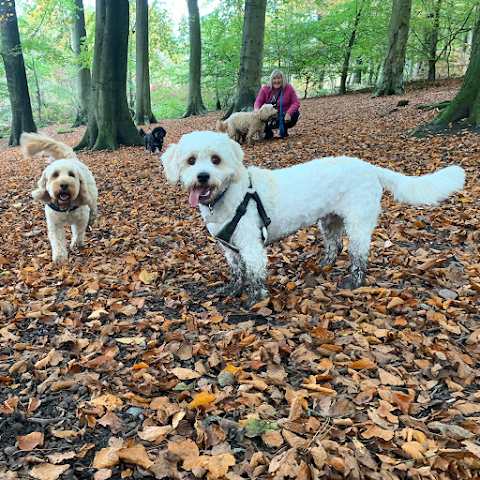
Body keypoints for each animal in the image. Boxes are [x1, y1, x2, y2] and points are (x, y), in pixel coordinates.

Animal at [21, 132, 98, 262]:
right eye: (55, 174)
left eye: (71, 174)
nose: (64, 184)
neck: (65, 206)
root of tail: (70, 158)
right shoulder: (54, 224)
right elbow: (57, 241)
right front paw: (60, 257)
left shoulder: (81, 219)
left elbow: (79, 233)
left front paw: (76, 244)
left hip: (91, 194)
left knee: (93, 206)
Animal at [163, 130, 466, 308]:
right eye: (191, 161)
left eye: (216, 159)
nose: (203, 176)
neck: (227, 195)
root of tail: (369, 167)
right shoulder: (230, 248)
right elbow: (237, 272)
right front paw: (233, 290)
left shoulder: (252, 246)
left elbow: (256, 276)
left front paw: (255, 301)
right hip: (330, 221)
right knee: (336, 246)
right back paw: (323, 266)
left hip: (358, 222)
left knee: (359, 255)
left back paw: (353, 282)